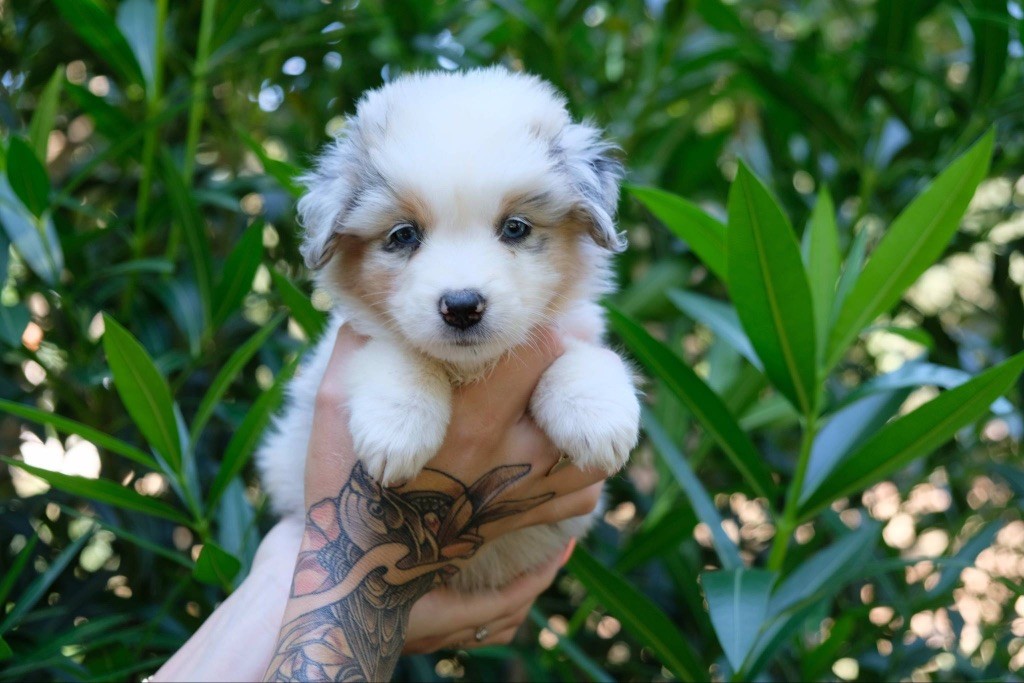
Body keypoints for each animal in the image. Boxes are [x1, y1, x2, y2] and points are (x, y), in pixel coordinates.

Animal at [257, 67, 640, 591]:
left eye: (515, 228)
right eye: (403, 235)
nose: (462, 306)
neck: (471, 368)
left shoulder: (574, 327)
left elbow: (587, 357)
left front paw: (596, 415)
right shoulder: (345, 351)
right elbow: (395, 353)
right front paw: (398, 429)